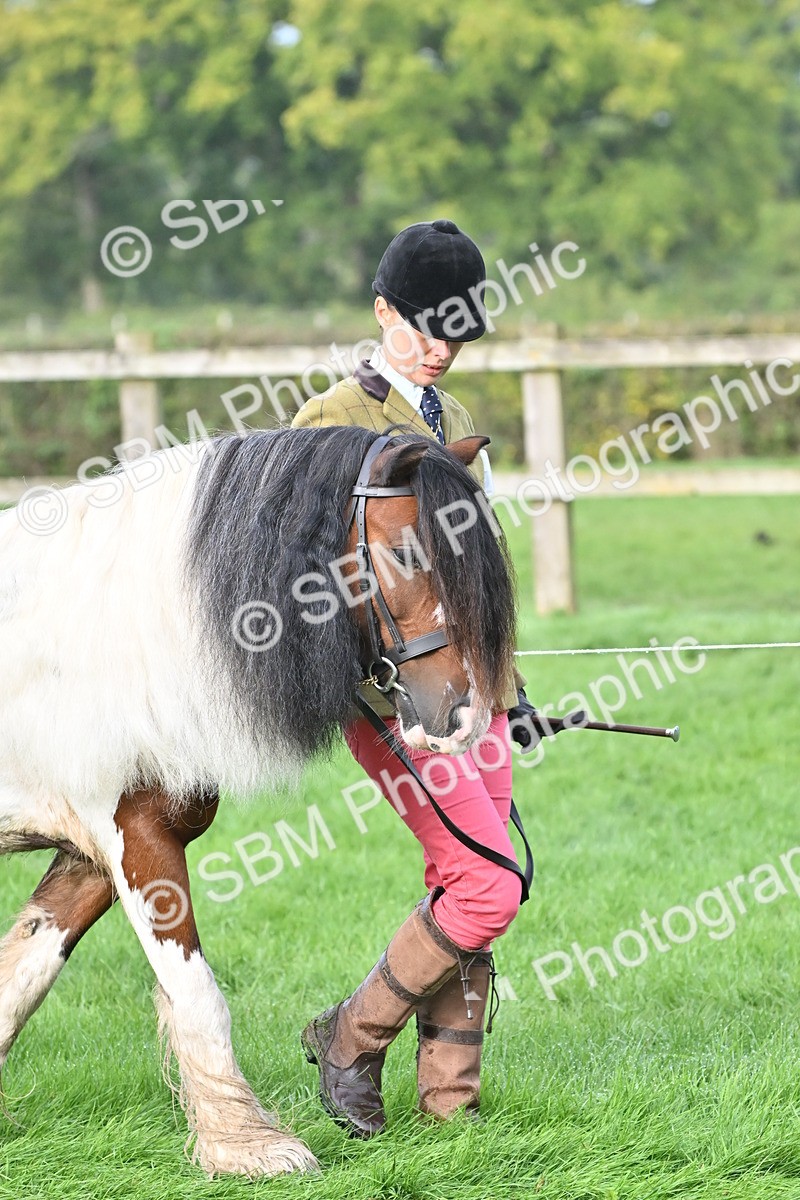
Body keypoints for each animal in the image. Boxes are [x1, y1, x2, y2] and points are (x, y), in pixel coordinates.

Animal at [0, 425, 517, 1179]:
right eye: (404, 552)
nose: (464, 715)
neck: (112, 635)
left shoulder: (89, 853)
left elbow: (22, 978)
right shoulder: (135, 836)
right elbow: (197, 994)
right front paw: (249, 1146)